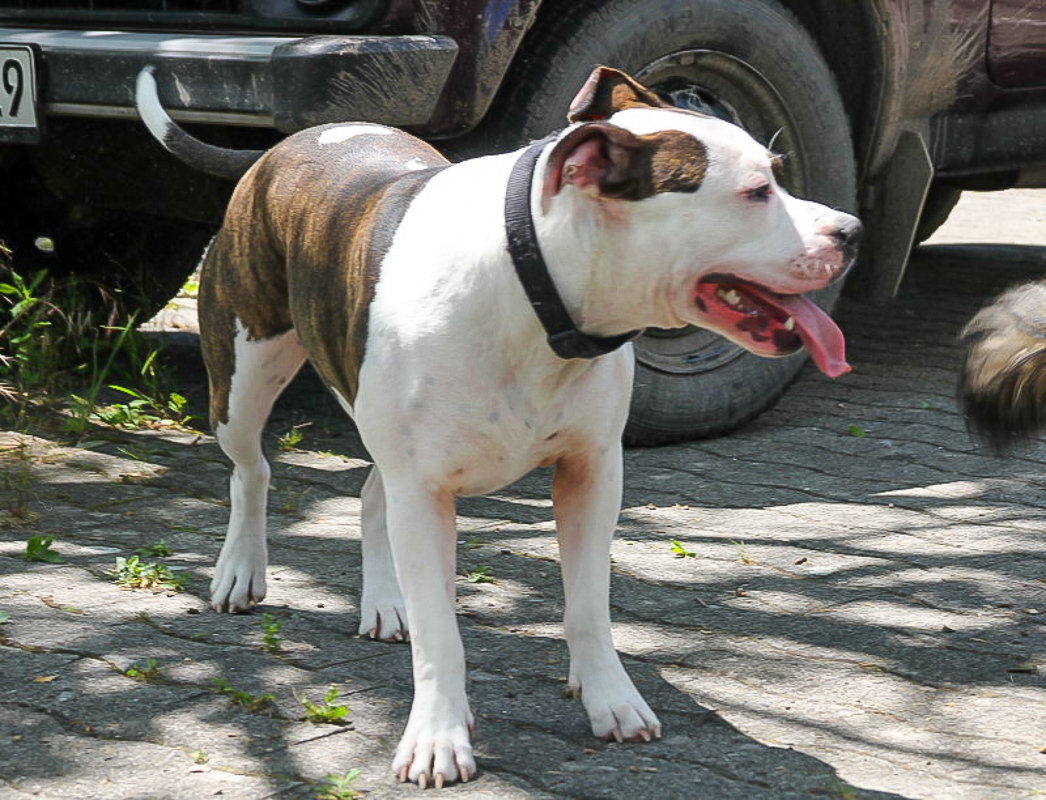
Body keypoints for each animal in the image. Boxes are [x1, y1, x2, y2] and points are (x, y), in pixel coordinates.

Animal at [134, 64, 861, 786]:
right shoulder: (426, 493)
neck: (532, 283)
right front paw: (437, 737)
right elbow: (441, 634)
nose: (852, 231)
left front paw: (610, 698)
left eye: (778, 172)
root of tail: (291, 142)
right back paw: (240, 570)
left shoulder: (591, 474)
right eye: (757, 192)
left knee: (369, 494)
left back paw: (384, 601)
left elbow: (588, 606)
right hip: (244, 374)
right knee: (251, 470)